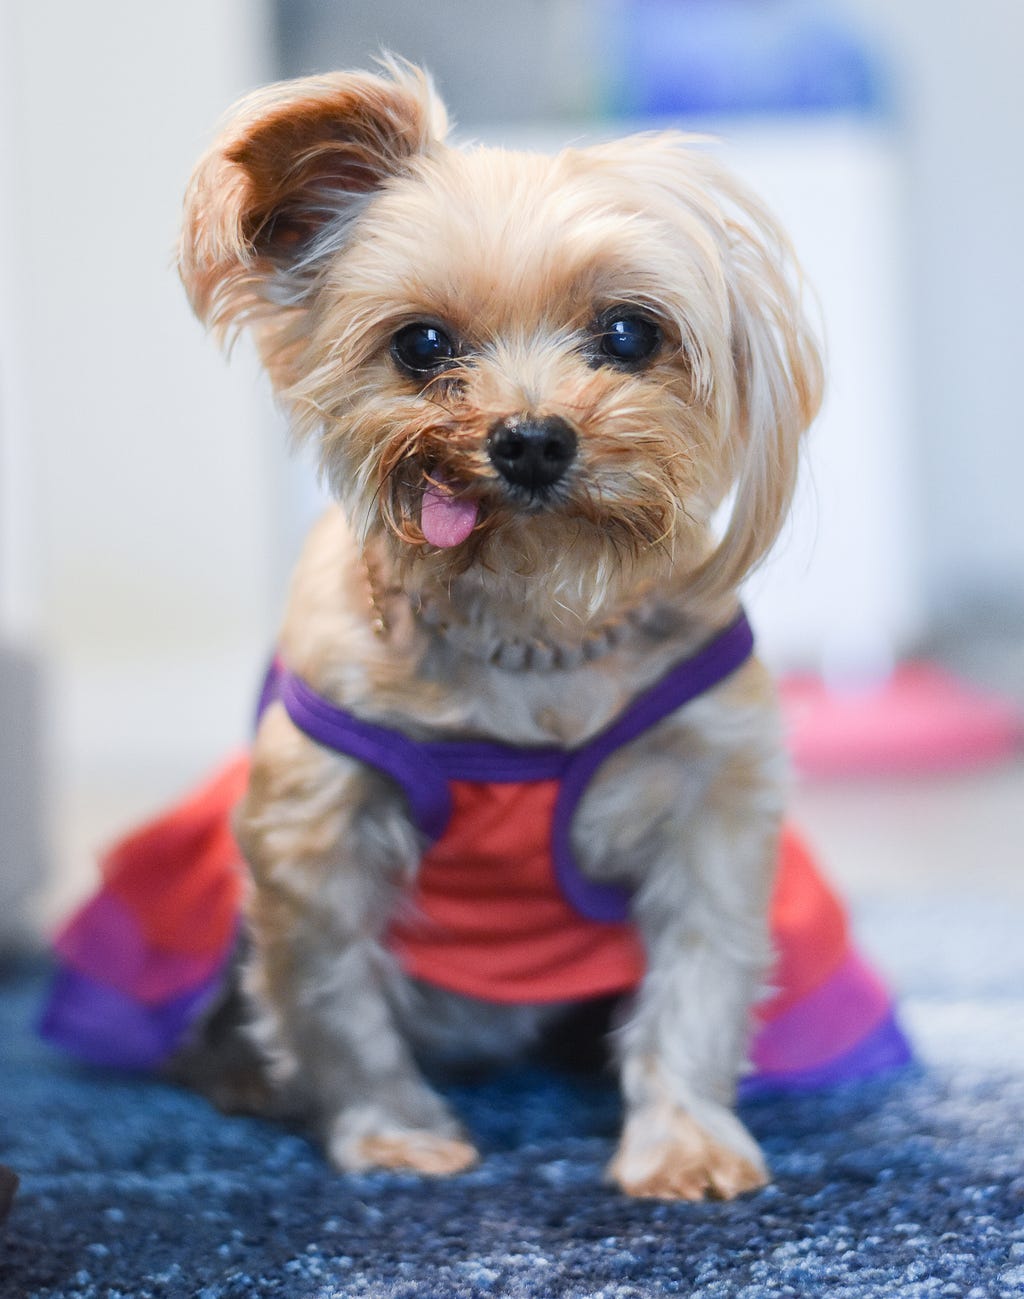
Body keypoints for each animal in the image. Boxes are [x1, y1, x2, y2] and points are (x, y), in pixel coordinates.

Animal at [175, 58, 826, 1195]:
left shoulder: (716, 796)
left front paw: (686, 1142)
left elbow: (698, 982)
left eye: (630, 332)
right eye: (421, 344)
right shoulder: (312, 831)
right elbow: (335, 1004)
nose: (529, 438)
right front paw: (391, 1136)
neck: (531, 619)